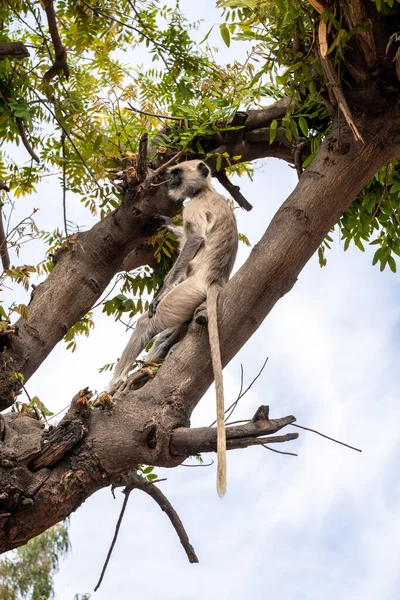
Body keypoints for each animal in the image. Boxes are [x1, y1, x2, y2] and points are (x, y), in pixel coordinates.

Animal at [108, 159, 238, 496]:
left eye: (177, 173)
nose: (170, 181)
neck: (206, 191)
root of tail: (215, 282)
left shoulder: (195, 208)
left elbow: (195, 240)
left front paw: (161, 289)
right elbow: (184, 236)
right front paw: (166, 221)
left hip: (186, 292)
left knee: (149, 322)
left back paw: (114, 384)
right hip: (189, 301)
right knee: (169, 334)